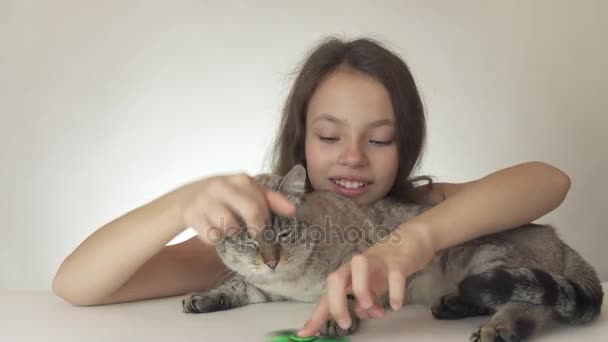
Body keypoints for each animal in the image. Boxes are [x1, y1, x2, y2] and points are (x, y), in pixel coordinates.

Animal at [182, 164, 604, 340]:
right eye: (248, 239)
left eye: (284, 231)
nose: (271, 260)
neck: (289, 279)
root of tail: (555, 235)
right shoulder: (262, 285)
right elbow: (236, 287)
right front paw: (204, 298)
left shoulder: (357, 266)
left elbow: (346, 292)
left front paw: (336, 317)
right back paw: (454, 305)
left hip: (489, 255)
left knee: (530, 304)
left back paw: (500, 329)